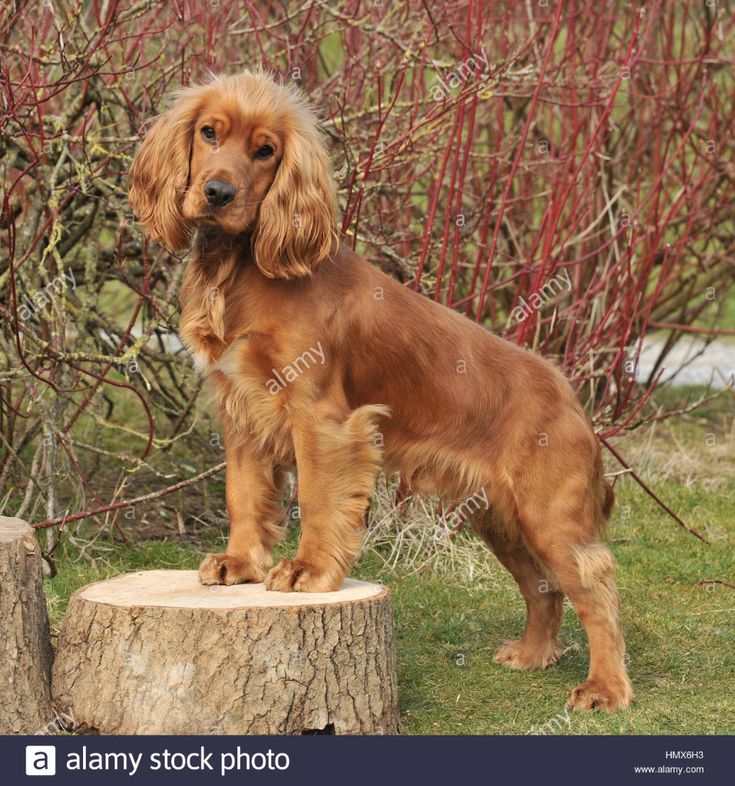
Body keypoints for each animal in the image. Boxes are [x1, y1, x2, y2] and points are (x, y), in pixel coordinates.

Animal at [128, 72, 632, 712]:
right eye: (209, 133)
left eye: (266, 151)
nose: (216, 192)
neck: (240, 266)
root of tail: (572, 399)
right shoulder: (240, 410)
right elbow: (244, 495)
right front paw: (240, 563)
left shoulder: (320, 417)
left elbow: (319, 499)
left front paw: (307, 571)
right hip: (499, 516)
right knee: (544, 586)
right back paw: (532, 655)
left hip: (549, 512)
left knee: (596, 584)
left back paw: (605, 688)